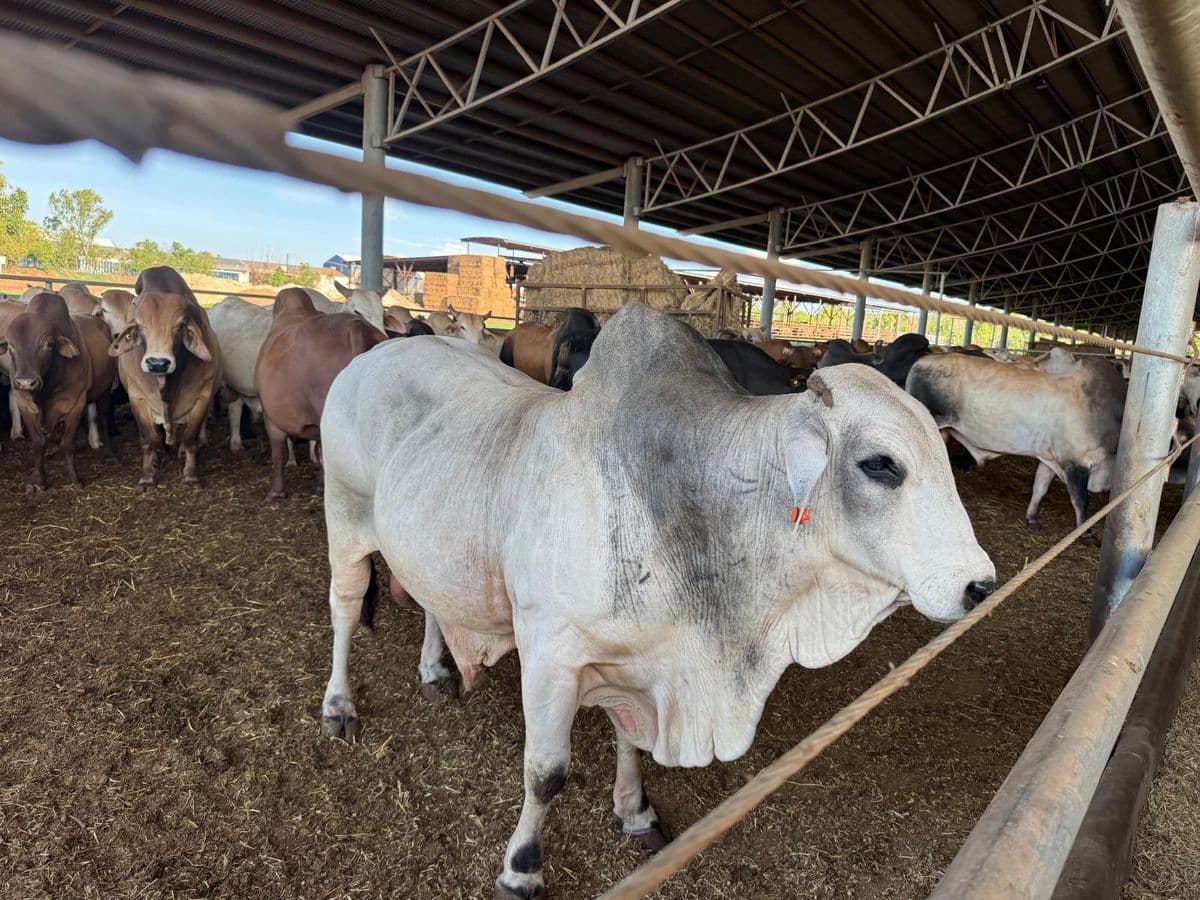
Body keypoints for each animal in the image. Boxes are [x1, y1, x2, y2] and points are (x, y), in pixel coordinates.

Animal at [0, 293, 114, 489]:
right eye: (11, 347)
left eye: (48, 344)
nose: (26, 382)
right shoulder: (25, 404)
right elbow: (38, 444)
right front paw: (38, 481)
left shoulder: (76, 403)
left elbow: (68, 444)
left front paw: (74, 479)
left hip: (105, 389)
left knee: (103, 416)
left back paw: (107, 449)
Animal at [108, 270, 223, 487]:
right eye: (140, 326)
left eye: (179, 327)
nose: (157, 363)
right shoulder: (138, 399)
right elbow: (148, 440)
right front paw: (147, 476)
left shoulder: (202, 398)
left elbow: (190, 439)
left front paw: (190, 475)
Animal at [317, 303, 995, 897]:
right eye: (880, 464)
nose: (980, 585)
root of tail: (375, 353)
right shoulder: (550, 655)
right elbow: (546, 773)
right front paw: (521, 870)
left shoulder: (643, 662)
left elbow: (631, 740)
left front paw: (634, 811)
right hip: (345, 518)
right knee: (345, 607)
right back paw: (339, 705)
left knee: (432, 598)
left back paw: (435, 669)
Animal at [906, 349, 1125, 543]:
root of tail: (922, 360)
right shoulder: (1075, 463)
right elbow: (1081, 501)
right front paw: (1086, 535)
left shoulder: (1050, 458)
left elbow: (1040, 488)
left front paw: (1032, 518)